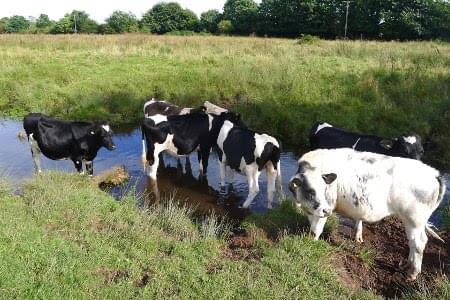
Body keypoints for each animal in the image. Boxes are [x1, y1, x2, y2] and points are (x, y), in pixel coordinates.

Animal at [288, 149, 446, 280]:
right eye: (310, 191)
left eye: (324, 189)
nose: (326, 210)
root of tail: (434, 173)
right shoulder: (313, 210)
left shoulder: (327, 206)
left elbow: (316, 229)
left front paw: (310, 244)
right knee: (413, 243)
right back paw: (408, 265)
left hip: (414, 220)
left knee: (419, 243)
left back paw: (412, 273)